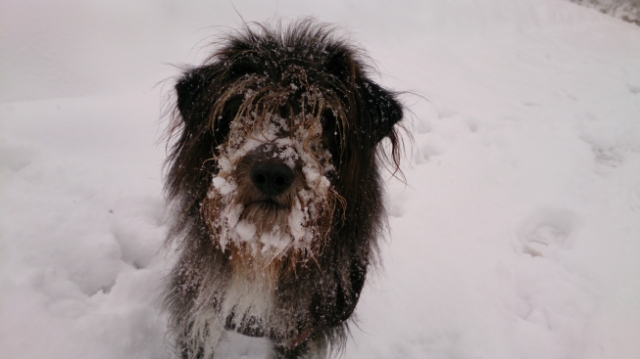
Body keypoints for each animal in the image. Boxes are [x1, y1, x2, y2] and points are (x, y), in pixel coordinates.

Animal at [164, 20, 404, 359]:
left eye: (325, 118)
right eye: (241, 107)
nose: (271, 174)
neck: (264, 249)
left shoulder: (306, 326)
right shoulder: (201, 302)